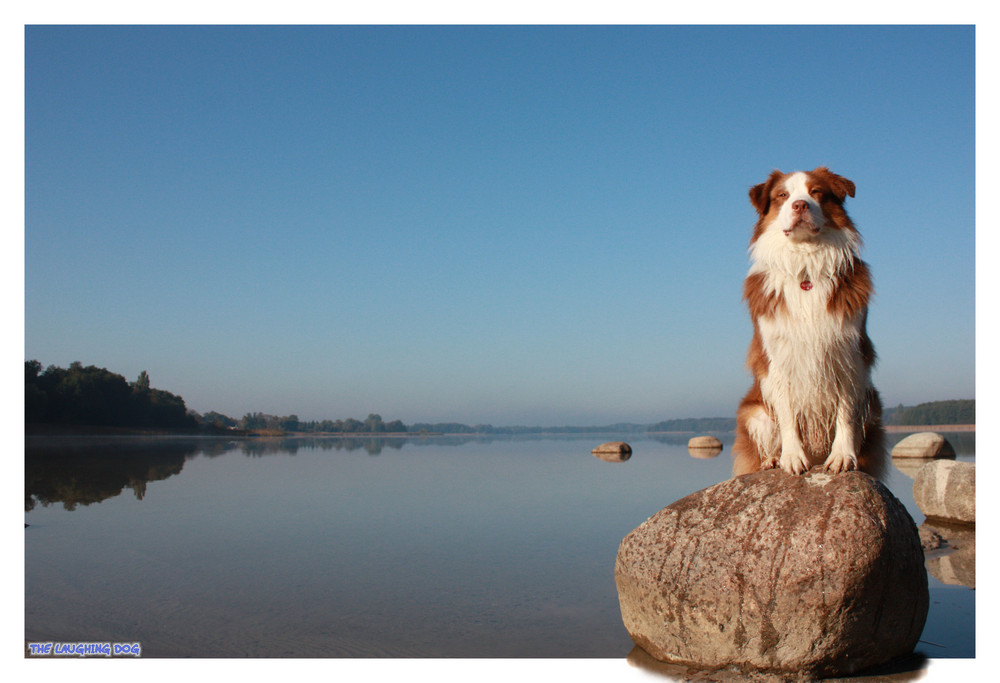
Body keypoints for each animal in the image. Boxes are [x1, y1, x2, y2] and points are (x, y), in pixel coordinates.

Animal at [732, 168, 888, 478]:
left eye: (816, 192)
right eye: (782, 195)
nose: (800, 205)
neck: (805, 270)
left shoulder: (848, 355)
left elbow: (845, 414)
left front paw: (843, 456)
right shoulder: (778, 359)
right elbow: (788, 415)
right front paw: (792, 457)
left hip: (874, 405)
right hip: (754, 412)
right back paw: (772, 460)